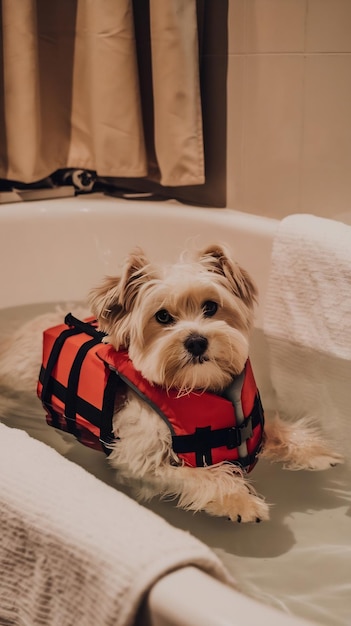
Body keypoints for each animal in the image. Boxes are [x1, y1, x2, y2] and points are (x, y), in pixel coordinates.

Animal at [0, 244, 344, 520]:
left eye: (211, 307)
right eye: (162, 317)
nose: (196, 341)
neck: (199, 388)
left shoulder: (249, 421)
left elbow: (271, 427)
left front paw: (311, 450)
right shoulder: (139, 463)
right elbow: (201, 475)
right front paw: (238, 500)